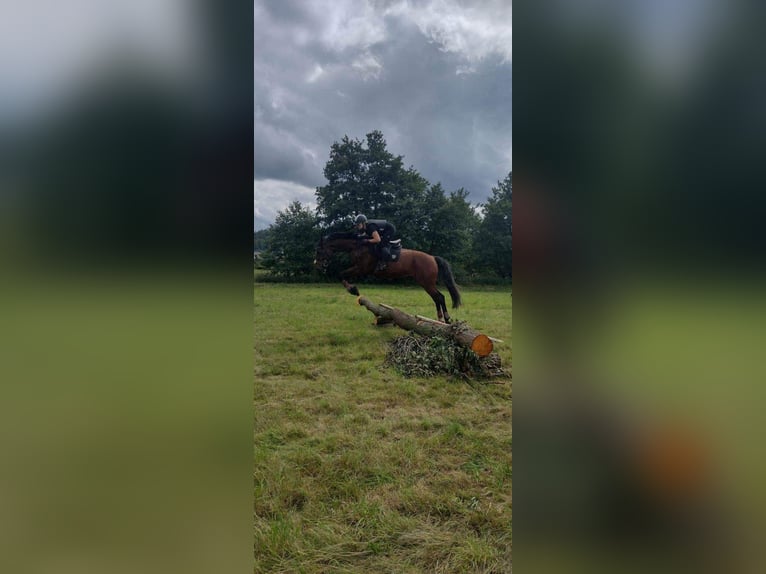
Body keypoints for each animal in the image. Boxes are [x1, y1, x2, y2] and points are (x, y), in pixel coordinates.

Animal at [314, 232, 462, 323]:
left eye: (319, 251)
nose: (318, 266)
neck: (358, 246)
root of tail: (432, 258)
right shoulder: (358, 268)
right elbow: (342, 275)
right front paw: (353, 289)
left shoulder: (361, 269)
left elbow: (341, 274)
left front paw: (353, 290)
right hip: (426, 283)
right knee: (437, 297)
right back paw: (440, 319)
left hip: (426, 282)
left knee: (439, 297)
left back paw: (446, 319)